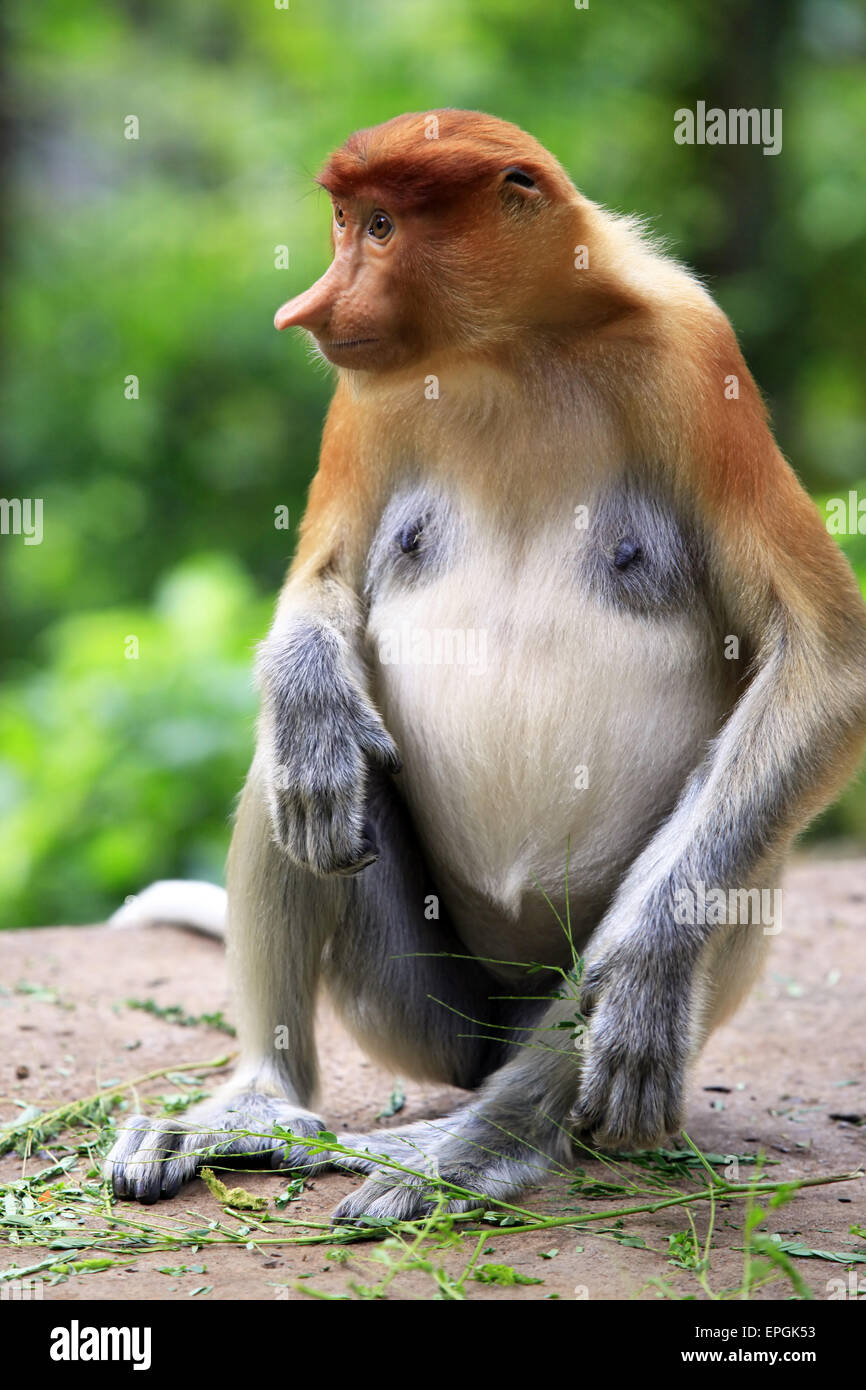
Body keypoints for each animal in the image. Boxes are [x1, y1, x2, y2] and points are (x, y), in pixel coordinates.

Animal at [104, 111, 866, 1217]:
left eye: (380, 225)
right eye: (343, 222)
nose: (306, 309)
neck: (512, 348)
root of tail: (489, 1039)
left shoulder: (697, 357)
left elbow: (822, 655)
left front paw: (643, 973)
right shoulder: (364, 395)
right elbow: (322, 584)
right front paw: (312, 699)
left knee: (736, 838)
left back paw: (479, 1142)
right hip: (414, 1010)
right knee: (294, 773)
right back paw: (258, 1101)